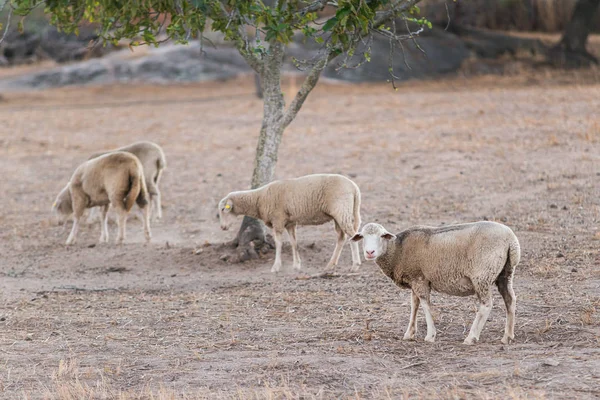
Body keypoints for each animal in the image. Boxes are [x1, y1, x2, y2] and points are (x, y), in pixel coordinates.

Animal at [219, 173, 364, 274]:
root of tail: (355, 188)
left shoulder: (278, 219)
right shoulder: (290, 223)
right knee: (342, 237)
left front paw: (276, 267)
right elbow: (294, 243)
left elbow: (279, 244)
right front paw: (296, 265)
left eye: (223, 209)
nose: (223, 227)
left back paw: (355, 266)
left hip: (341, 210)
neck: (259, 199)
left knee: (352, 235)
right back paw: (330, 265)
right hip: (339, 214)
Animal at [352, 220, 520, 346]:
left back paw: (471, 337)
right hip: (505, 273)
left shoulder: (420, 279)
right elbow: (414, 305)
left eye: (382, 236)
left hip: (482, 275)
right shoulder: (414, 279)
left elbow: (425, 304)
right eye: (363, 237)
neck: (397, 249)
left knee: (486, 305)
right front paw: (409, 333)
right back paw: (507, 336)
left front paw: (430, 335)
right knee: (510, 300)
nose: (370, 252)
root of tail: (510, 239)